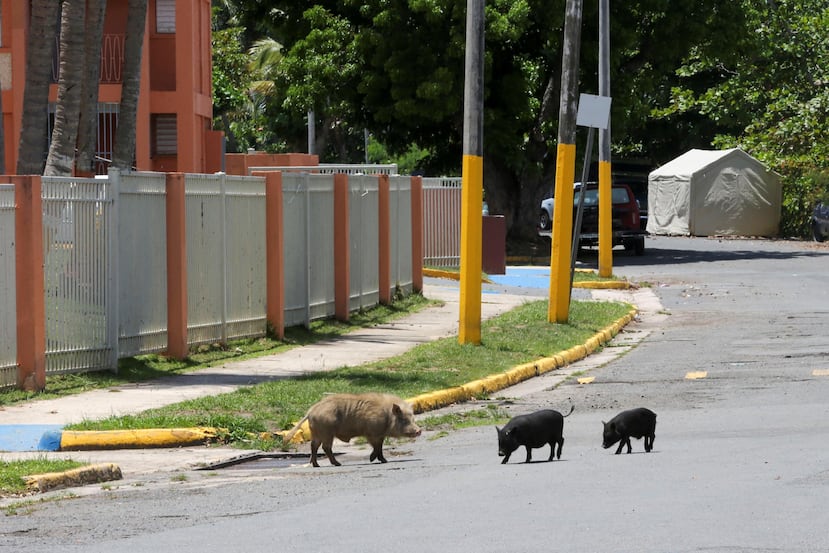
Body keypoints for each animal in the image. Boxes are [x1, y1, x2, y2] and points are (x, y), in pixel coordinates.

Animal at [284, 392, 420, 466]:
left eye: (413, 418)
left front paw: (384, 460)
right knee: (325, 447)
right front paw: (372, 459)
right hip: (327, 432)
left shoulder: (380, 435)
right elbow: (376, 447)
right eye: (403, 419)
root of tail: (311, 411)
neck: (387, 416)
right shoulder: (371, 432)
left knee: (314, 446)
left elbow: (380, 447)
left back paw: (316, 465)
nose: (419, 430)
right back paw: (337, 464)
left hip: (317, 433)